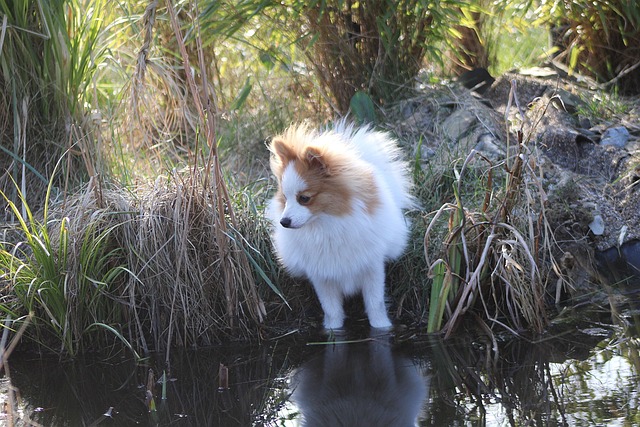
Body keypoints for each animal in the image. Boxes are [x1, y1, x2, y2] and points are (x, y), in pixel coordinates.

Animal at [266, 121, 412, 332]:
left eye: (304, 198)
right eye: (285, 198)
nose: (284, 222)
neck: (327, 224)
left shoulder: (372, 267)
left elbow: (375, 303)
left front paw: (382, 327)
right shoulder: (322, 276)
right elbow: (331, 309)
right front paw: (333, 330)